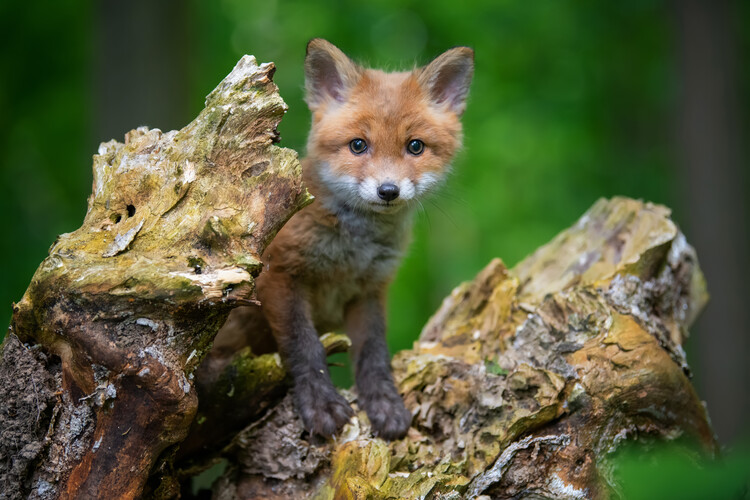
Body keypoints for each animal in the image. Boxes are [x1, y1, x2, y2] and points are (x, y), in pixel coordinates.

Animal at [212, 39, 474, 440]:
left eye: (415, 147)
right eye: (358, 145)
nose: (388, 191)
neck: (353, 251)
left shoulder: (369, 289)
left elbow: (373, 352)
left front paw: (384, 404)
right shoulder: (278, 274)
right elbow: (304, 346)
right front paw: (321, 404)